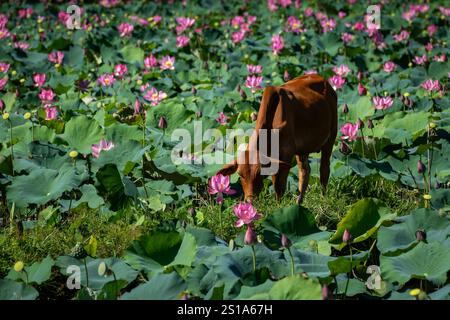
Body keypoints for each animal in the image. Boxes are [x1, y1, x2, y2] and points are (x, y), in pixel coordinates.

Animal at [218, 74, 338, 204]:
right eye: (240, 175)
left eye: (260, 174)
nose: (250, 201)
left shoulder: (287, 153)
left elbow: (279, 185)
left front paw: (279, 205)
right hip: (302, 150)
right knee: (304, 172)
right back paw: (299, 203)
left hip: (331, 137)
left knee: (324, 169)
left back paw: (323, 197)